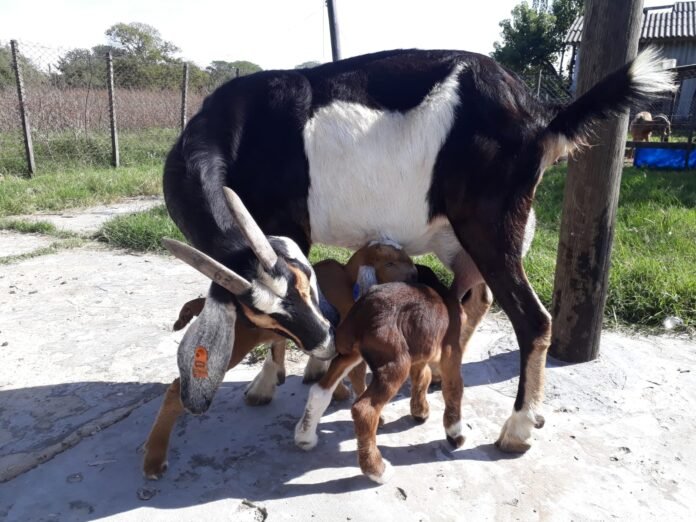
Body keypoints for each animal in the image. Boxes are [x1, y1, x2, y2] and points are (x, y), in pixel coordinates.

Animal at [143, 241, 422, 479]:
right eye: (390, 263)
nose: (415, 275)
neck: (348, 281)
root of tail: (204, 303)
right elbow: (356, 374)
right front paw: (374, 413)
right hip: (231, 348)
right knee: (176, 388)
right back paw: (154, 459)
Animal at [163, 47, 675, 453]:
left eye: (300, 294)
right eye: (263, 314)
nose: (327, 340)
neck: (238, 132)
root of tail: (537, 109)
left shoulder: (287, 223)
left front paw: (268, 382)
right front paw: (308, 368)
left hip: (490, 221)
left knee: (532, 318)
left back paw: (517, 428)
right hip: (464, 232)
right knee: (477, 297)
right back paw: (444, 376)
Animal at [294, 265, 491, 483]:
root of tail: (362, 316)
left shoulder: (420, 349)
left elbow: (422, 377)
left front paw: (420, 411)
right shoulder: (451, 350)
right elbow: (453, 388)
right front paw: (455, 434)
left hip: (349, 352)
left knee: (321, 390)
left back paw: (305, 437)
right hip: (394, 361)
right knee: (364, 409)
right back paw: (377, 470)